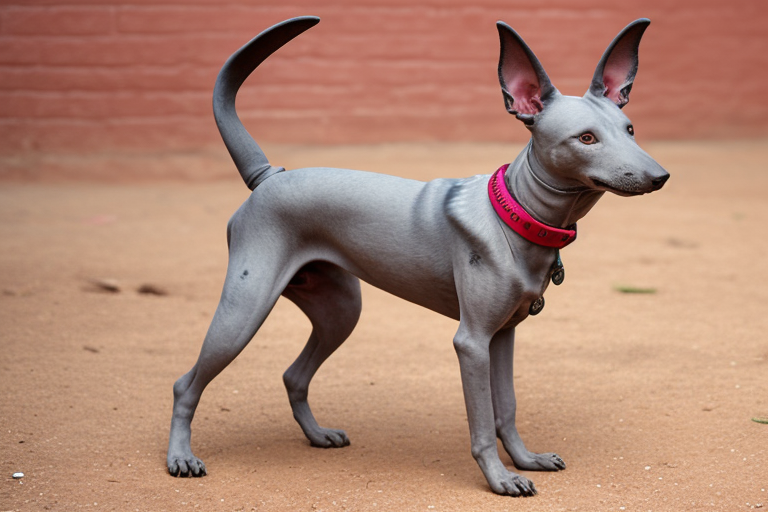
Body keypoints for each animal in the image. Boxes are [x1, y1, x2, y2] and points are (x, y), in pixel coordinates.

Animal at [166, 16, 664, 496]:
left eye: (630, 130)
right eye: (586, 138)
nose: (660, 176)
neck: (516, 213)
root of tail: (270, 175)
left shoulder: (502, 335)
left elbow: (506, 408)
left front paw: (525, 460)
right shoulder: (471, 342)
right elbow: (482, 422)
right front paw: (499, 479)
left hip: (340, 310)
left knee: (294, 375)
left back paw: (317, 434)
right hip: (245, 310)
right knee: (185, 385)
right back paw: (180, 457)